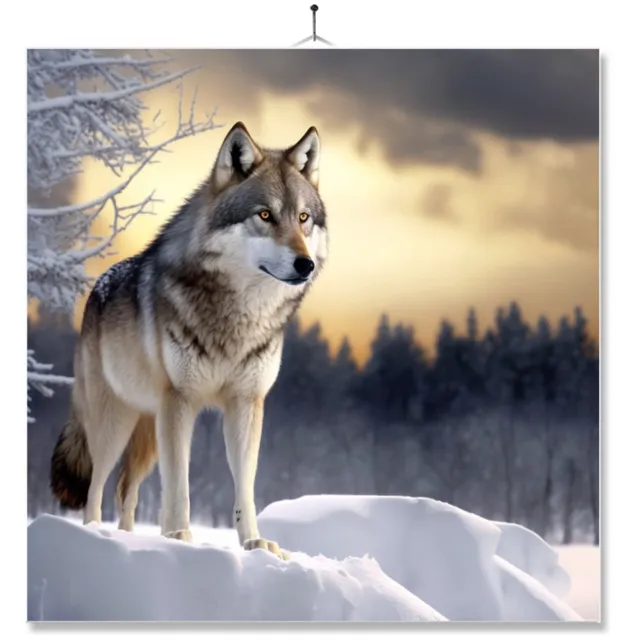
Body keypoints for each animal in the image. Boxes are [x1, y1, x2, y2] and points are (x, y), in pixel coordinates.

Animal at [50, 122, 328, 559]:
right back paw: (94, 536)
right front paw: (179, 536)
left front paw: (254, 542)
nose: (306, 264)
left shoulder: (246, 403)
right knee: (96, 486)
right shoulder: (180, 402)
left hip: (147, 431)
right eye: (265, 215)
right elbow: (178, 482)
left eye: (303, 218)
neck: (237, 317)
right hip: (114, 423)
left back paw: (128, 538)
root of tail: (96, 289)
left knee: (125, 490)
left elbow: (245, 485)